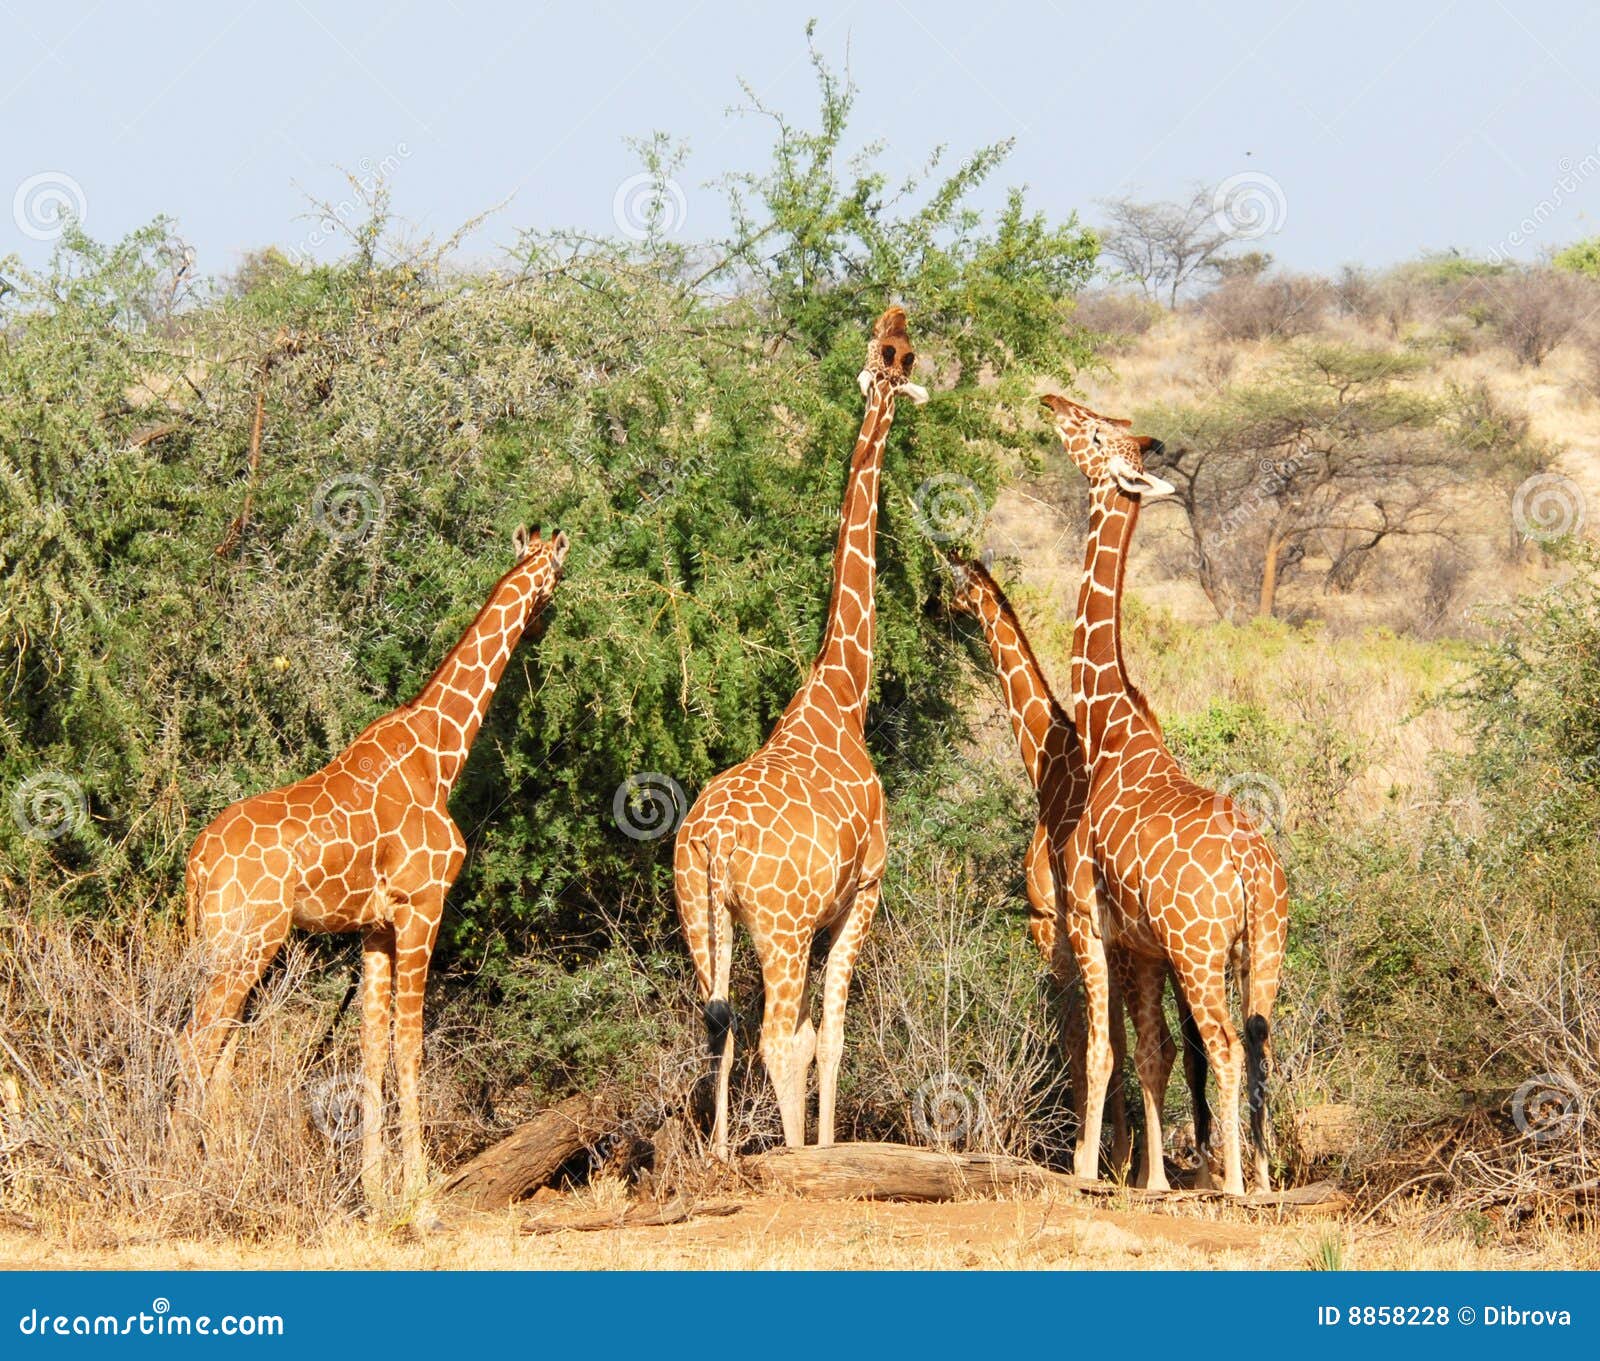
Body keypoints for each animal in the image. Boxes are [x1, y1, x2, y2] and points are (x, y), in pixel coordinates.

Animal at [178, 525, 569, 1209]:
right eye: (557, 573)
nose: (542, 624)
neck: (440, 753)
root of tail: (197, 862)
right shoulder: (422, 906)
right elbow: (410, 1046)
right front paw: (420, 1198)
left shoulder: (375, 929)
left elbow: (371, 1052)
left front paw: (376, 1193)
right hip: (246, 942)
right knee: (194, 1044)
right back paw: (175, 1179)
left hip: (228, 944)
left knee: (219, 1052)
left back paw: (226, 1176)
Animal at [674, 306, 927, 1157]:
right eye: (901, 353)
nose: (898, 316)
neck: (842, 691)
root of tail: (712, 840)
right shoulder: (863, 892)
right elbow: (833, 1033)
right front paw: (822, 1148)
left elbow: (816, 1033)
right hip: (776, 927)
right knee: (773, 1035)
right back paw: (783, 1156)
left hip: (702, 914)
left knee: (718, 1025)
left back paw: (721, 1155)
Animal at [1043, 392, 1288, 1196]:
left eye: (1093, 435)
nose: (1049, 401)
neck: (1110, 727)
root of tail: (1251, 870)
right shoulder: (1145, 947)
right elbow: (1151, 1051)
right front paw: (1149, 1179)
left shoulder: (1090, 920)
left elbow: (1101, 1050)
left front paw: (1087, 1169)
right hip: (1264, 950)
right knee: (1261, 1043)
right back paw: (1262, 1179)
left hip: (1200, 950)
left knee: (1229, 1046)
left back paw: (1233, 1182)